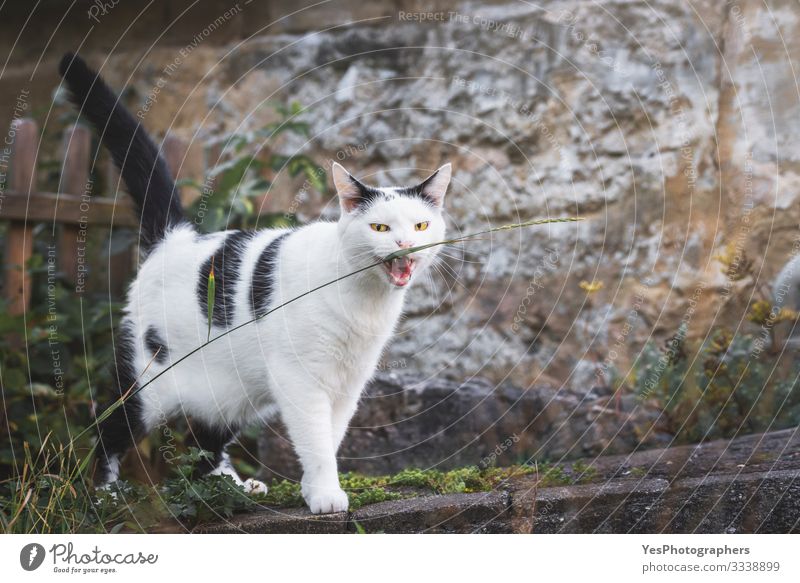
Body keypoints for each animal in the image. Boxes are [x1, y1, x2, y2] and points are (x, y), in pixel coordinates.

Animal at [58, 52, 450, 512]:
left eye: (421, 225)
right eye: (380, 227)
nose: (406, 244)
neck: (366, 300)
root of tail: (175, 238)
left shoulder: (348, 384)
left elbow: (331, 437)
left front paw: (314, 488)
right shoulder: (301, 380)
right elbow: (315, 439)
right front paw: (325, 496)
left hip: (231, 390)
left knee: (205, 441)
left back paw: (229, 486)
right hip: (148, 379)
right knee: (109, 427)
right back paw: (106, 494)